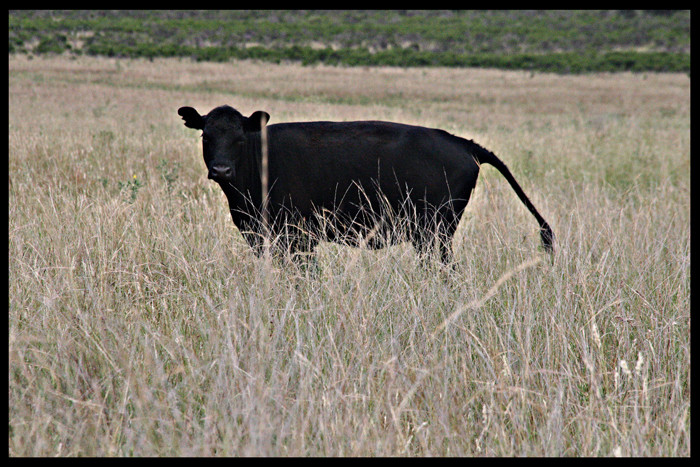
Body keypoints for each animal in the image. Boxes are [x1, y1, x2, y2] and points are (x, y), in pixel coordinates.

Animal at [176, 106, 552, 266]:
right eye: (206, 136)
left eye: (239, 138)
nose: (221, 169)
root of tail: (464, 143)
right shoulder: (260, 235)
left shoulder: (298, 237)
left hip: (434, 233)